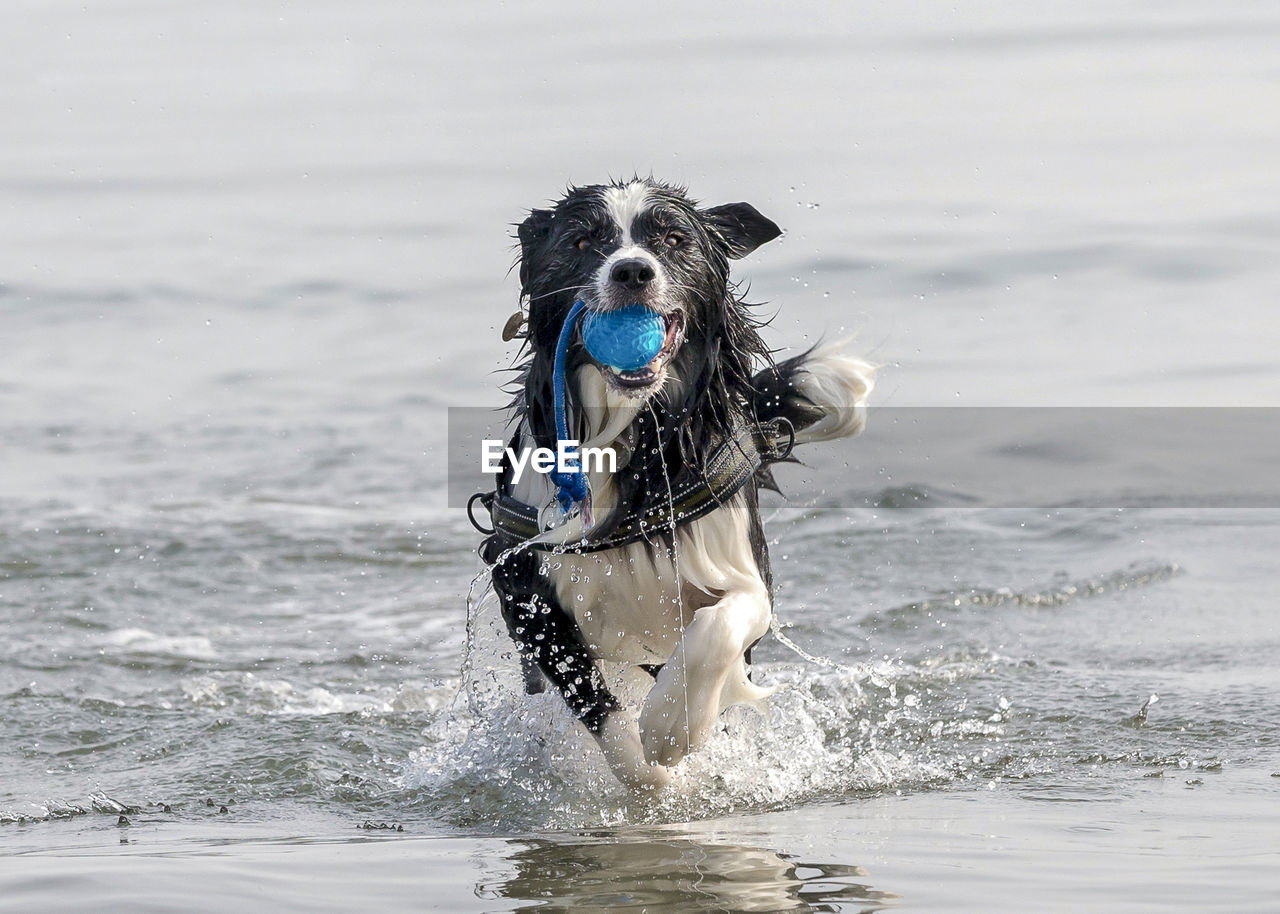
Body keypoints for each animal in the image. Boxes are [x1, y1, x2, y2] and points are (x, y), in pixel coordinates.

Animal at [476, 179, 875, 788]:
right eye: (582, 240)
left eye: (673, 239)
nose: (632, 271)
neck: (631, 437)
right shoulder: (523, 584)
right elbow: (595, 703)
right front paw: (652, 775)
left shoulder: (743, 572)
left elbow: (718, 629)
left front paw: (672, 729)